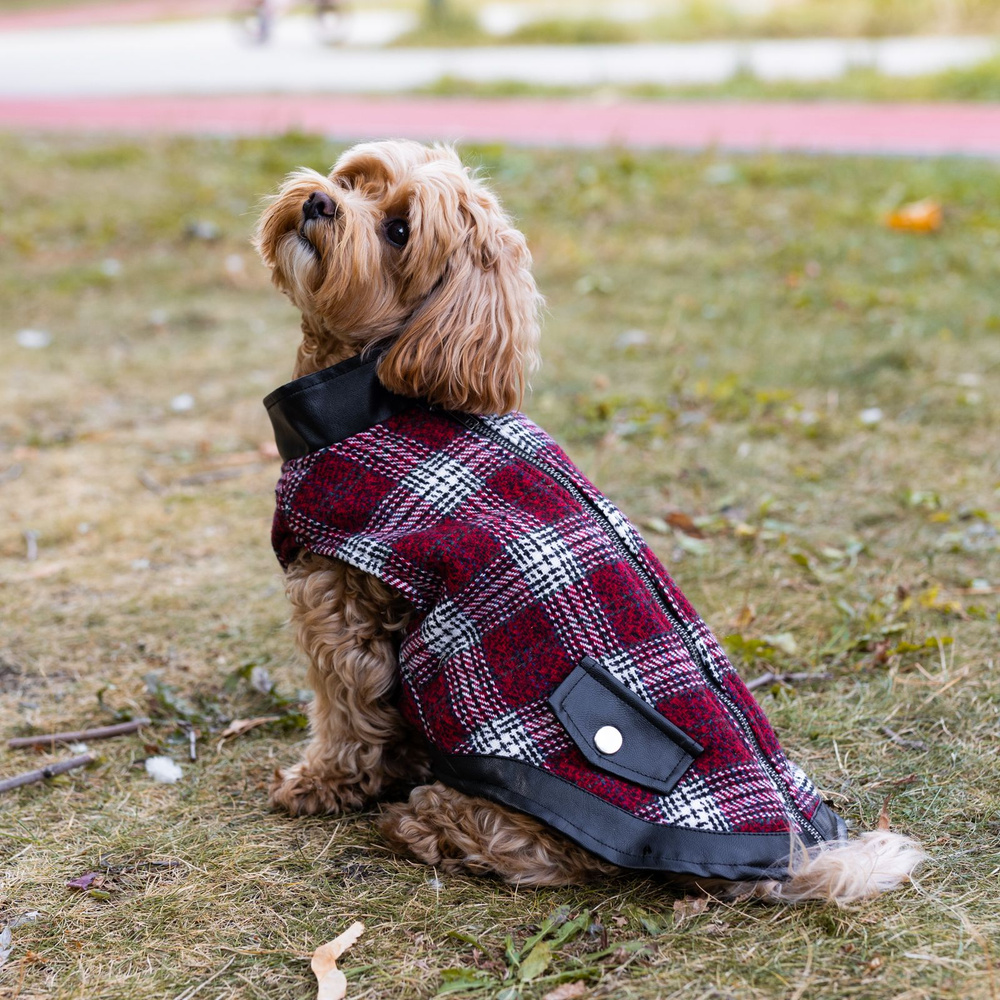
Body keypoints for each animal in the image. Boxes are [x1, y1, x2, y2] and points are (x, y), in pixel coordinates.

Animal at [254, 139, 924, 900]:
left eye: (398, 231)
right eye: (353, 180)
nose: (319, 201)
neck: (383, 392)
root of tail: (793, 850)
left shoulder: (339, 599)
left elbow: (347, 716)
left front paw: (320, 783)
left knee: (545, 853)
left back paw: (430, 822)